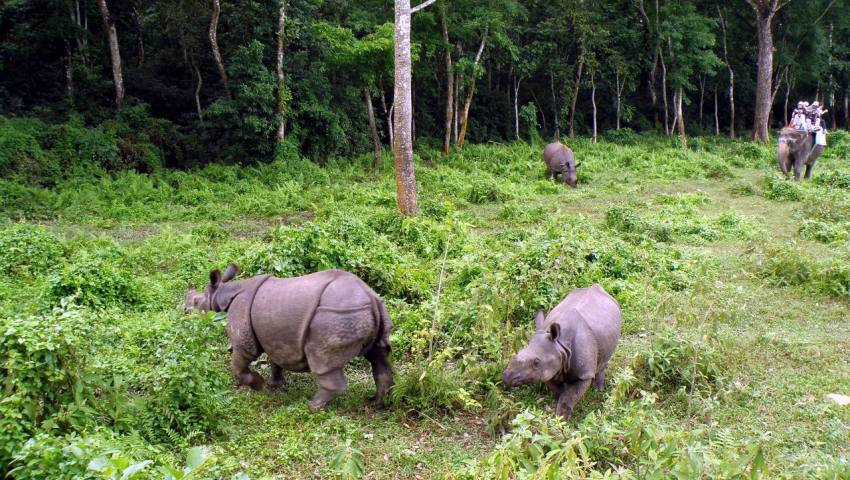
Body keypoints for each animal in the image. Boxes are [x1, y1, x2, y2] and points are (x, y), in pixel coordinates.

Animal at [184, 264, 392, 410]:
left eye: (197, 302)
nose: (184, 311)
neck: (222, 293)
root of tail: (370, 297)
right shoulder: (275, 337)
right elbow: (276, 359)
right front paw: (274, 384)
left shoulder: (244, 336)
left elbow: (240, 363)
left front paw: (259, 385)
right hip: (372, 311)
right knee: (379, 357)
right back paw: (376, 404)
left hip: (336, 316)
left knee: (322, 360)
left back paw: (312, 407)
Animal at [500, 284, 620, 420]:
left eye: (536, 362)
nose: (506, 377)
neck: (560, 345)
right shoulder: (548, 369)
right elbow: (560, 391)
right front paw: (559, 415)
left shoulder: (585, 374)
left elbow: (570, 395)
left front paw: (563, 418)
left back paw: (598, 391)